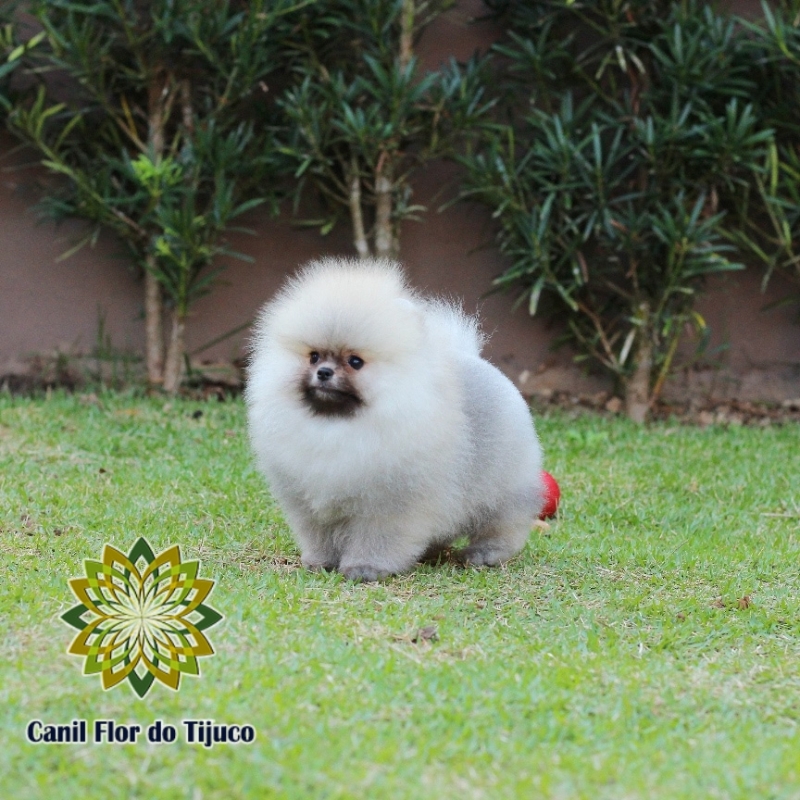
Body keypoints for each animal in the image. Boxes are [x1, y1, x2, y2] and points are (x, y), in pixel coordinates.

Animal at [245, 258, 544, 580]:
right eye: (313, 356)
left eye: (355, 362)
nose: (323, 372)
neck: (338, 426)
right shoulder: (308, 503)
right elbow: (319, 534)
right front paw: (321, 561)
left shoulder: (387, 503)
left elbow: (377, 538)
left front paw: (366, 568)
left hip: (502, 486)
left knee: (504, 522)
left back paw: (485, 554)